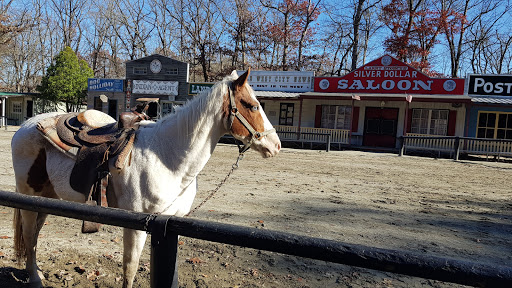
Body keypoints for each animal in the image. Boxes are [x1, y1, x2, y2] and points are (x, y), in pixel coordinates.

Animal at [11, 70, 280, 288]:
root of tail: (26, 125)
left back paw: (36, 272)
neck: (167, 156)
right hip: (29, 196)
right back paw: (34, 279)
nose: (275, 145)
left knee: (34, 235)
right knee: (29, 235)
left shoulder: (171, 225)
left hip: (46, 198)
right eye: (252, 106)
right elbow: (130, 269)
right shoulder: (136, 225)